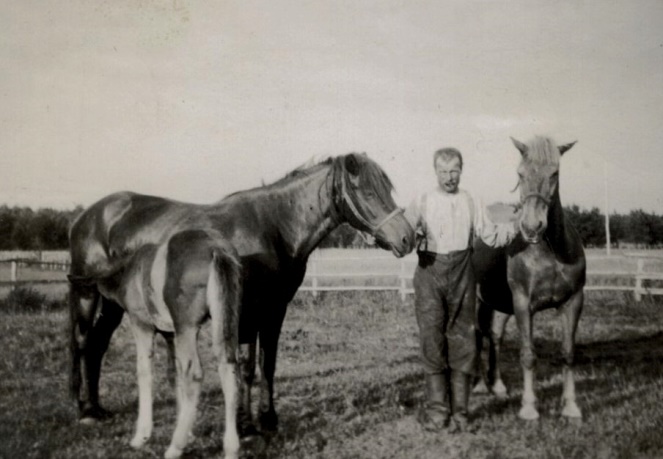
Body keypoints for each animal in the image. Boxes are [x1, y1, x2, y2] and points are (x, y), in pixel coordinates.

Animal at [71, 154, 416, 434]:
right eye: (368, 192)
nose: (408, 238)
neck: (273, 228)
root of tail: (87, 216)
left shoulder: (274, 309)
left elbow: (265, 365)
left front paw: (267, 419)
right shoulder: (244, 310)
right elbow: (243, 367)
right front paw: (246, 424)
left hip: (114, 302)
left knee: (98, 344)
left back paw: (98, 408)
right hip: (87, 293)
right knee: (84, 342)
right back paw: (85, 410)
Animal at [97, 230, 243, 459]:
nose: (100, 318)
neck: (130, 269)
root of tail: (215, 248)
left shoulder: (142, 325)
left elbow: (144, 371)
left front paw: (142, 435)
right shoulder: (170, 335)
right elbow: (174, 374)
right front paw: (189, 431)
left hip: (187, 327)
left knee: (194, 374)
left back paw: (175, 446)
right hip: (224, 320)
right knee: (229, 368)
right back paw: (230, 448)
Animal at [472, 137, 588, 420]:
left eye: (555, 173)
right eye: (520, 174)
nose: (532, 227)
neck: (549, 252)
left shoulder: (573, 302)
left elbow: (568, 353)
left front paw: (570, 406)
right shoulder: (524, 304)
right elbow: (528, 355)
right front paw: (528, 407)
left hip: (500, 304)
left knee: (495, 336)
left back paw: (498, 386)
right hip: (477, 300)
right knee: (477, 335)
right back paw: (479, 385)